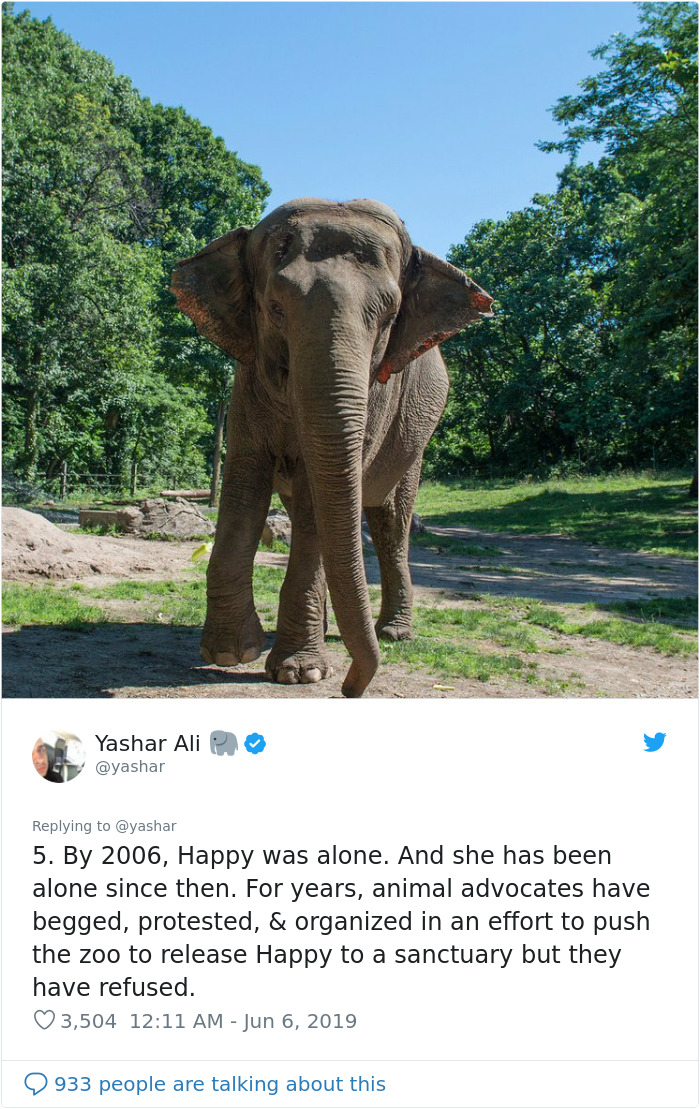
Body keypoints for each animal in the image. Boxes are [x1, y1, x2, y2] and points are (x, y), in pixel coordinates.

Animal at [171, 198, 493, 698]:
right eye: (274, 308)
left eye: (389, 317)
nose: (350, 689)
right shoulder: (247, 382)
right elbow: (245, 485)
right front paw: (230, 653)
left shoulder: (378, 396)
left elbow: (316, 501)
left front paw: (298, 673)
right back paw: (327, 632)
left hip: (414, 442)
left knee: (389, 522)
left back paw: (393, 634)